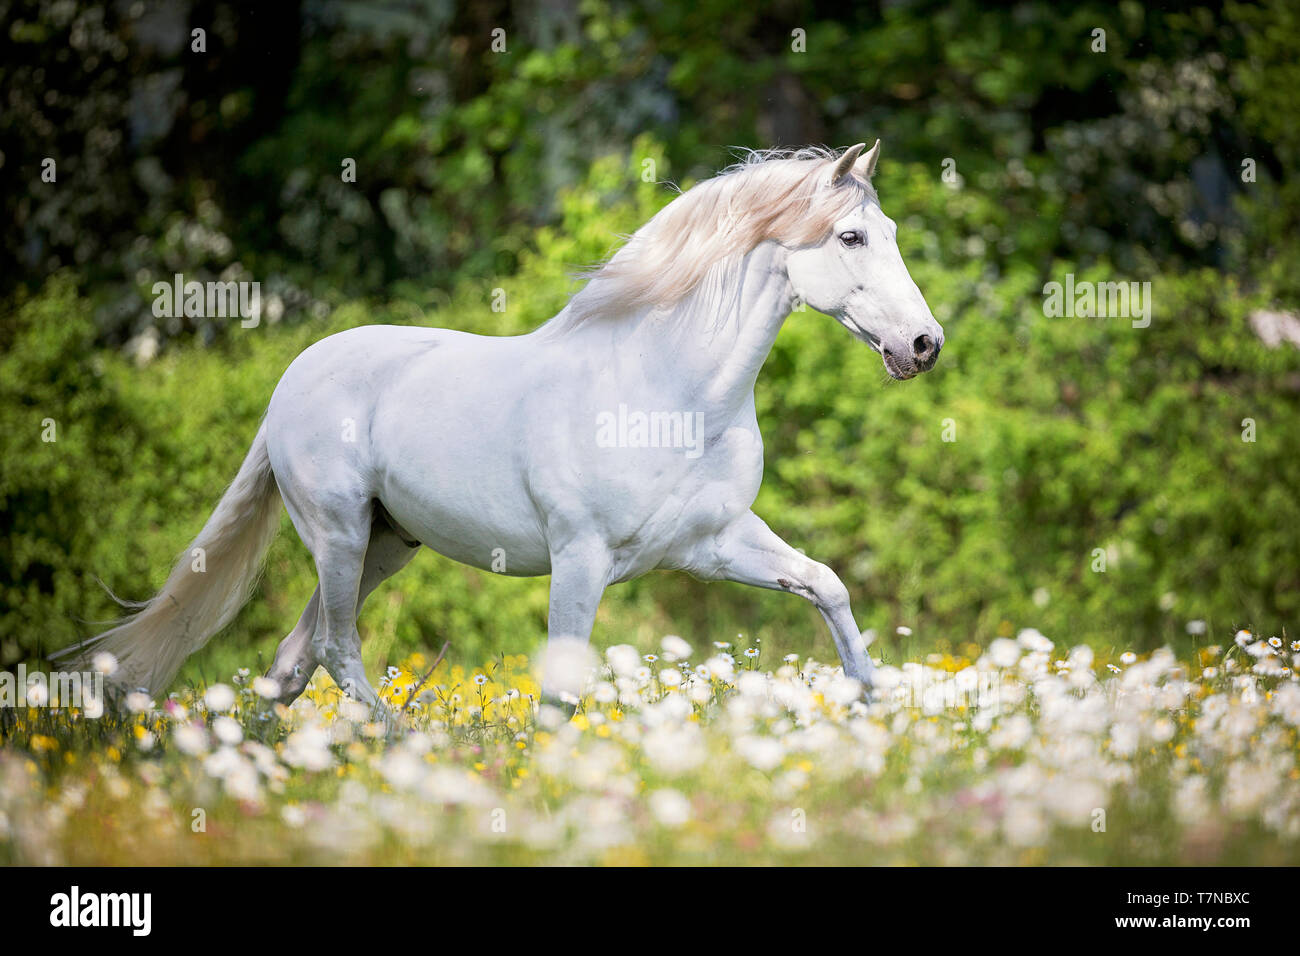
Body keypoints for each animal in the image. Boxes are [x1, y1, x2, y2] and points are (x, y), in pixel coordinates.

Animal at [56, 141, 944, 710]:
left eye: (895, 234)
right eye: (851, 236)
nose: (923, 345)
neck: (669, 395)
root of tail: (292, 381)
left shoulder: (715, 543)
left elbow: (826, 584)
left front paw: (872, 710)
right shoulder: (581, 559)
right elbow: (561, 692)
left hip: (386, 544)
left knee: (289, 661)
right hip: (338, 536)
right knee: (337, 651)